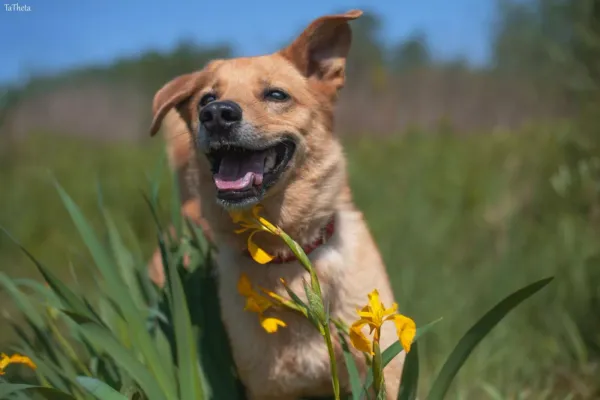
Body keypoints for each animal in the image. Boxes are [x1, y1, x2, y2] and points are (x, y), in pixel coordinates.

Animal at [148, 10, 406, 400]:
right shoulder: (268, 387)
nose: (216, 114)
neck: (286, 252)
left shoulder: (383, 373)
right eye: (206, 98)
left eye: (276, 94)